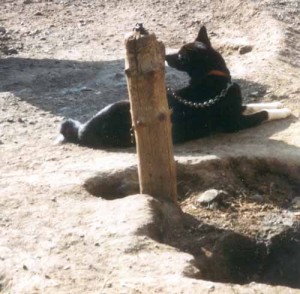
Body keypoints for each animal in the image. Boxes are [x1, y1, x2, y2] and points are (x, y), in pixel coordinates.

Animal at [58, 26, 290, 148]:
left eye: (177, 55)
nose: (166, 57)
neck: (213, 77)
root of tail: (82, 131)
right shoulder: (233, 124)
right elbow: (262, 113)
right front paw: (282, 112)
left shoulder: (237, 106)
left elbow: (253, 104)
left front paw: (279, 104)